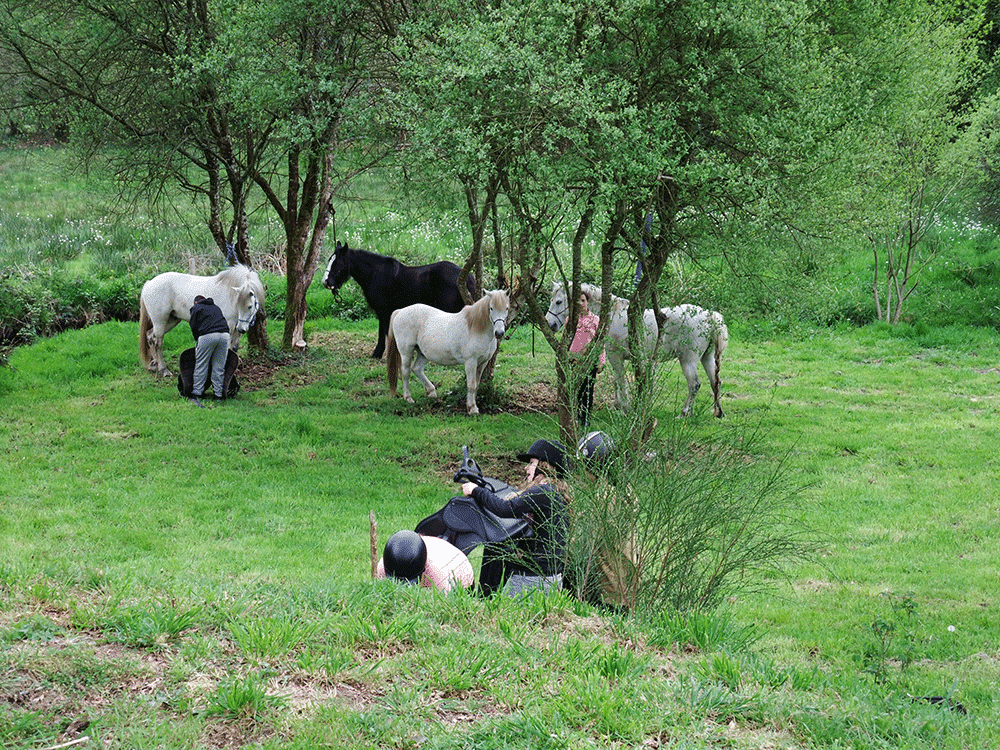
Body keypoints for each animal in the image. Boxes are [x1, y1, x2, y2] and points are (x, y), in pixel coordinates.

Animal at [320, 241, 476, 358]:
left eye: (338, 263)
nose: (326, 282)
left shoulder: (383, 311)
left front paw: (378, 353)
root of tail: (466, 276)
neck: (375, 275)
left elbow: (383, 333)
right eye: (329, 260)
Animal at [382, 290, 508, 418]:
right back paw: (408, 398)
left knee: (417, 369)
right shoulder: (471, 362)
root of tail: (400, 311)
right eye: (491, 308)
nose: (499, 333)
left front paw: (473, 406)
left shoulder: (482, 363)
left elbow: (476, 385)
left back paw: (431, 392)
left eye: (507, 308)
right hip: (406, 352)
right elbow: (471, 385)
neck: (475, 328)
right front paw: (472, 408)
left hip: (423, 353)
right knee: (406, 372)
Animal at [548, 284, 728, 420]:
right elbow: (617, 381)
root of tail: (709, 317)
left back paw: (684, 413)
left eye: (558, 301)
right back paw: (718, 412)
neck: (612, 315)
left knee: (694, 384)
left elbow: (621, 381)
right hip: (707, 358)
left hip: (687, 360)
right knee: (715, 382)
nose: (550, 325)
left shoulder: (615, 357)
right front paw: (617, 406)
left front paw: (624, 408)